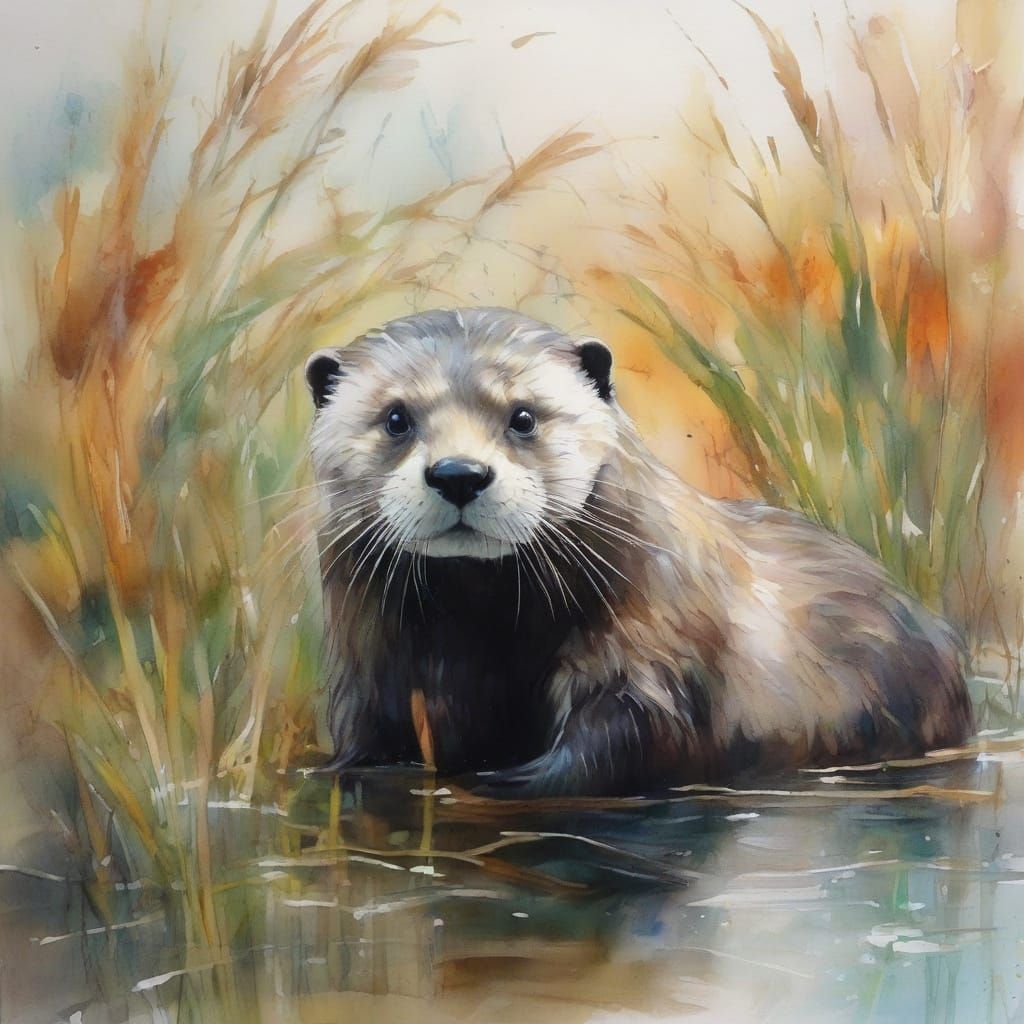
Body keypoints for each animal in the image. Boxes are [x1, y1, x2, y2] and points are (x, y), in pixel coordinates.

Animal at [304, 307, 973, 796]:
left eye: (523, 417)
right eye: (396, 418)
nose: (459, 473)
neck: (486, 640)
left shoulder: (654, 645)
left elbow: (628, 737)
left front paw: (506, 780)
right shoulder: (374, 671)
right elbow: (372, 742)